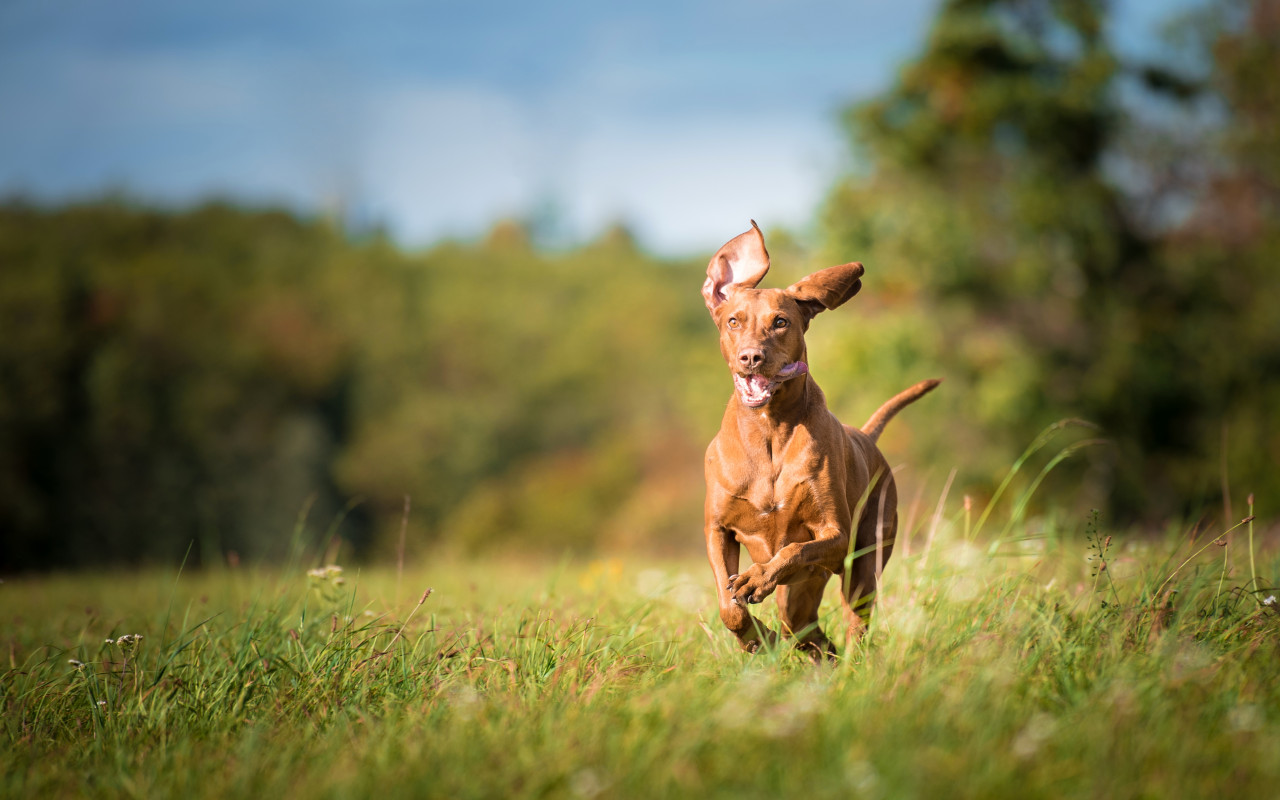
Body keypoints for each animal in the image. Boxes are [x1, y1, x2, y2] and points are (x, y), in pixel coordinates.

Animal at [701, 218, 942, 655]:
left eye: (781, 322)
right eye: (733, 321)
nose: (751, 357)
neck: (768, 430)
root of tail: (867, 437)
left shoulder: (836, 535)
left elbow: (793, 549)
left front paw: (758, 579)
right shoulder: (717, 529)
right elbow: (730, 609)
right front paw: (755, 637)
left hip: (863, 564)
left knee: (850, 624)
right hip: (804, 594)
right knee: (805, 631)